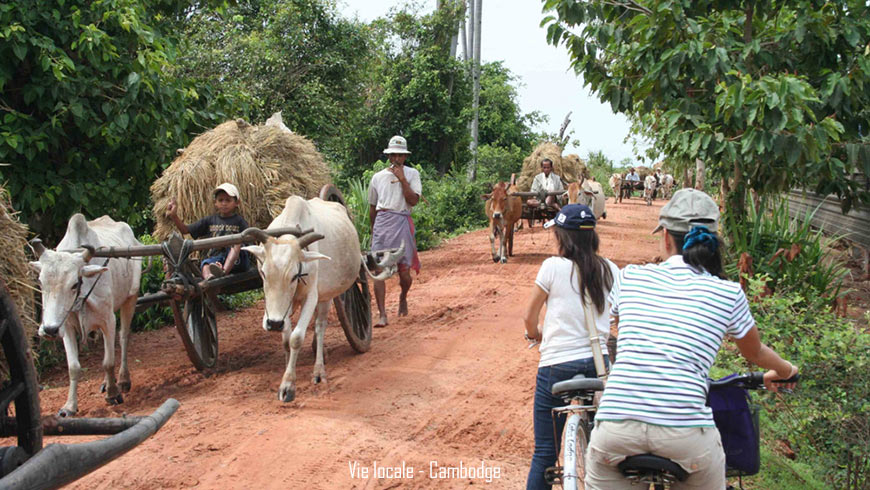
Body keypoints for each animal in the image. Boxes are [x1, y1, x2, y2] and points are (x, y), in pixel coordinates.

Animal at [29, 212, 142, 416]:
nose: (49, 330)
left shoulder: (108, 320)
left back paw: (122, 380)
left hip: (131, 297)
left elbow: (108, 362)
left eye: (74, 284)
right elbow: (74, 367)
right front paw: (69, 407)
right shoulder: (66, 327)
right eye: (40, 282)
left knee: (123, 338)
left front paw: (113, 394)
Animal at [242, 195, 406, 402]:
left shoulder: (312, 296)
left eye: (294, 276)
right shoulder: (282, 308)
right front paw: (287, 372)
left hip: (327, 295)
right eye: (263, 273)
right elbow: (286, 340)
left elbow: (296, 337)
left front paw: (288, 385)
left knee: (320, 327)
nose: (273, 323)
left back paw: (319, 370)